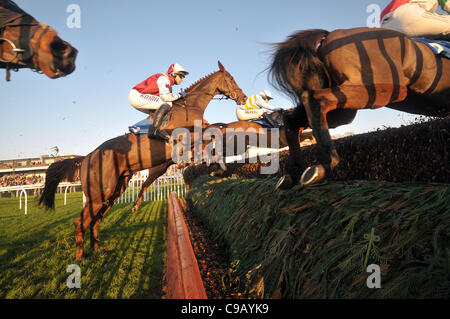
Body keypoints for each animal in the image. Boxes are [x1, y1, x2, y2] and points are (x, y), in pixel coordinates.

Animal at [40, 61, 248, 262]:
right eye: (231, 78)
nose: (244, 98)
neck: (190, 107)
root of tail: (86, 157)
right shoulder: (186, 137)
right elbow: (210, 133)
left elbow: (212, 133)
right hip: (99, 193)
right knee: (80, 222)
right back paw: (80, 258)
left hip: (114, 191)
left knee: (95, 221)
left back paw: (98, 250)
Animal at [268, 27, 448, 190]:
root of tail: (329, 35)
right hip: (383, 90)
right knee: (314, 100)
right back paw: (325, 165)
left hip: (343, 110)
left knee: (293, 120)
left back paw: (294, 174)